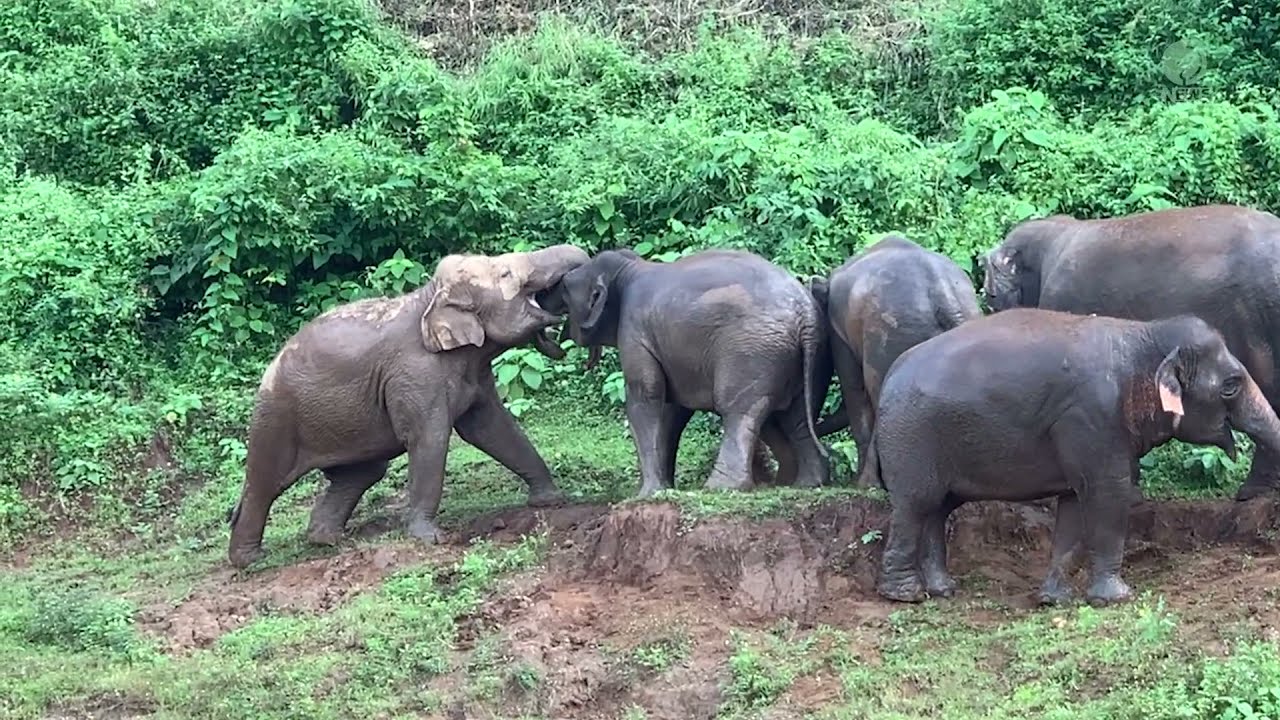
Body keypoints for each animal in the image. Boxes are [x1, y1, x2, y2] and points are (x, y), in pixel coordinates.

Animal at [226, 244, 589, 569]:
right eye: (506, 274)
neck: (429, 298)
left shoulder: (475, 373)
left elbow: (492, 429)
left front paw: (550, 500)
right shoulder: (417, 373)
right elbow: (431, 438)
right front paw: (431, 539)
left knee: (363, 473)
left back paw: (327, 540)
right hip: (277, 414)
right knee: (265, 482)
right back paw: (251, 561)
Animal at [543, 248, 831, 496]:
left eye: (565, 287)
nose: (545, 293)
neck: (629, 268)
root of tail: (804, 312)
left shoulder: (635, 330)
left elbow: (645, 396)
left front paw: (647, 494)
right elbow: (672, 410)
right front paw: (663, 488)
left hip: (752, 351)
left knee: (738, 410)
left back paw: (721, 488)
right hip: (805, 356)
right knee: (795, 416)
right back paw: (808, 483)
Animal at [807, 235, 982, 479]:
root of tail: (944, 294)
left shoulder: (839, 332)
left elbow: (854, 388)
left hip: (890, 332)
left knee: (878, 390)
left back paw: (870, 481)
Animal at [862, 308, 1280, 606]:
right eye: (1231, 386)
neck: (1141, 335)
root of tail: (889, 378)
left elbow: (1074, 504)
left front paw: (1054, 601)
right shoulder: (1093, 419)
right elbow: (1108, 494)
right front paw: (1116, 598)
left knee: (938, 507)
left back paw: (942, 590)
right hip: (912, 438)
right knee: (916, 504)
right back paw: (905, 595)